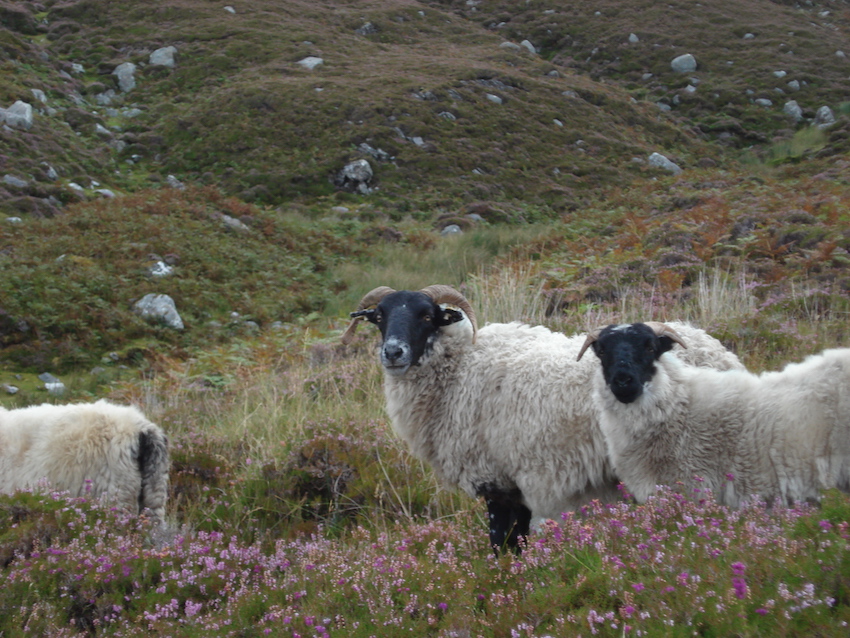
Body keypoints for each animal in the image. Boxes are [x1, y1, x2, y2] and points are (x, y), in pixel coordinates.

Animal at [340, 288, 744, 552]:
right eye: (379, 317)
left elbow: (503, 544)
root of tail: (721, 354)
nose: (393, 352)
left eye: (426, 315)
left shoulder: (497, 480)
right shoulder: (513, 485)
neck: (461, 368)